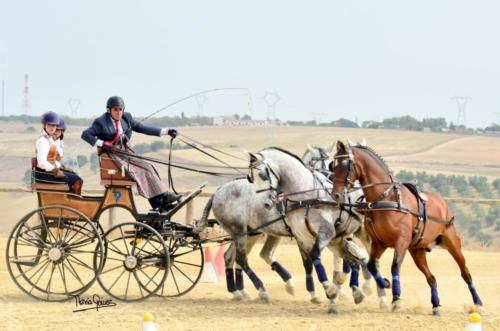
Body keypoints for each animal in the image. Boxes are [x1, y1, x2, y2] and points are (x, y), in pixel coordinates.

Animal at [330, 140, 482, 316]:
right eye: (333, 165)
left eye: (346, 164)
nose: (336, 195)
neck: (385, 198)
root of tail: (443, 204)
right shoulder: (379, 243)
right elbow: (372, 265)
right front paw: (385, 283)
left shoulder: (401, 241)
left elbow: (395, 266)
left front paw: (396, 298)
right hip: (417, 251)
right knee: (431, 278)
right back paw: (436, 305)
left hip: (453, 244)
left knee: (465, 273)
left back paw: (478, 304)